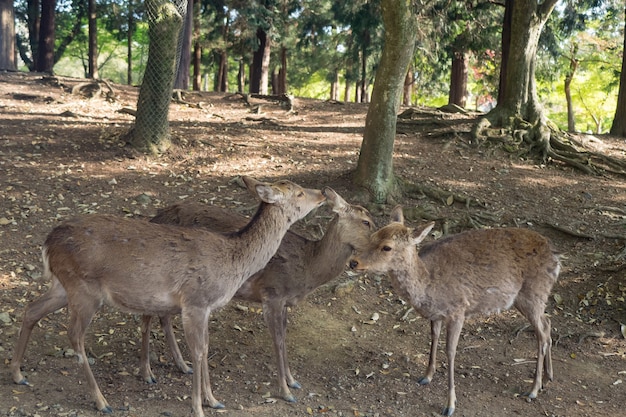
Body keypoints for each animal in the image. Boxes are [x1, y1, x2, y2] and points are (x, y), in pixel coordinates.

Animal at [9, 176, 324, 416]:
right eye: (298, 191)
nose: (321, 193)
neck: (234, 262)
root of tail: (47, 242)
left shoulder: (206, 307)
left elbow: (205, 348)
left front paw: (214, 400)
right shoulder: (195, 300)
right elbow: (198, 351)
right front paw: (198, 407)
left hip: (63, 286)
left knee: (31, 309)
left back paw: (18, 374)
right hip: (84, 289)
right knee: (74, 335)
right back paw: (101, 401)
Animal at [147, 187, 376, 402]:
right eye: (366, 222)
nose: (377, 248)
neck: (307, 267)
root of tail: (154, 217)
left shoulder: (285, 302)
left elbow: (284, 338)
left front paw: (293, 381)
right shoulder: (273, 293)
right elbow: (277, 341)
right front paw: (285, 391)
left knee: (163, 316)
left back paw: (182, 365)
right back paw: (149, 373)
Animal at [348, 206, 560, 416]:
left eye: (387, 247)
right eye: (373, 235)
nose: (353, 262)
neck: (429, 286)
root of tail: (556, 257)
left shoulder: (458, 311)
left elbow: (450, 351)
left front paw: (450, 404)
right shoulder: (436, 315)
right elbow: (433, 338)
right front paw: (426, 376)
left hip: (533, 294)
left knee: (541, 333)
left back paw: (533, 389)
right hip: (529, 299)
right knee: (548, 323)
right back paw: (548, 377)